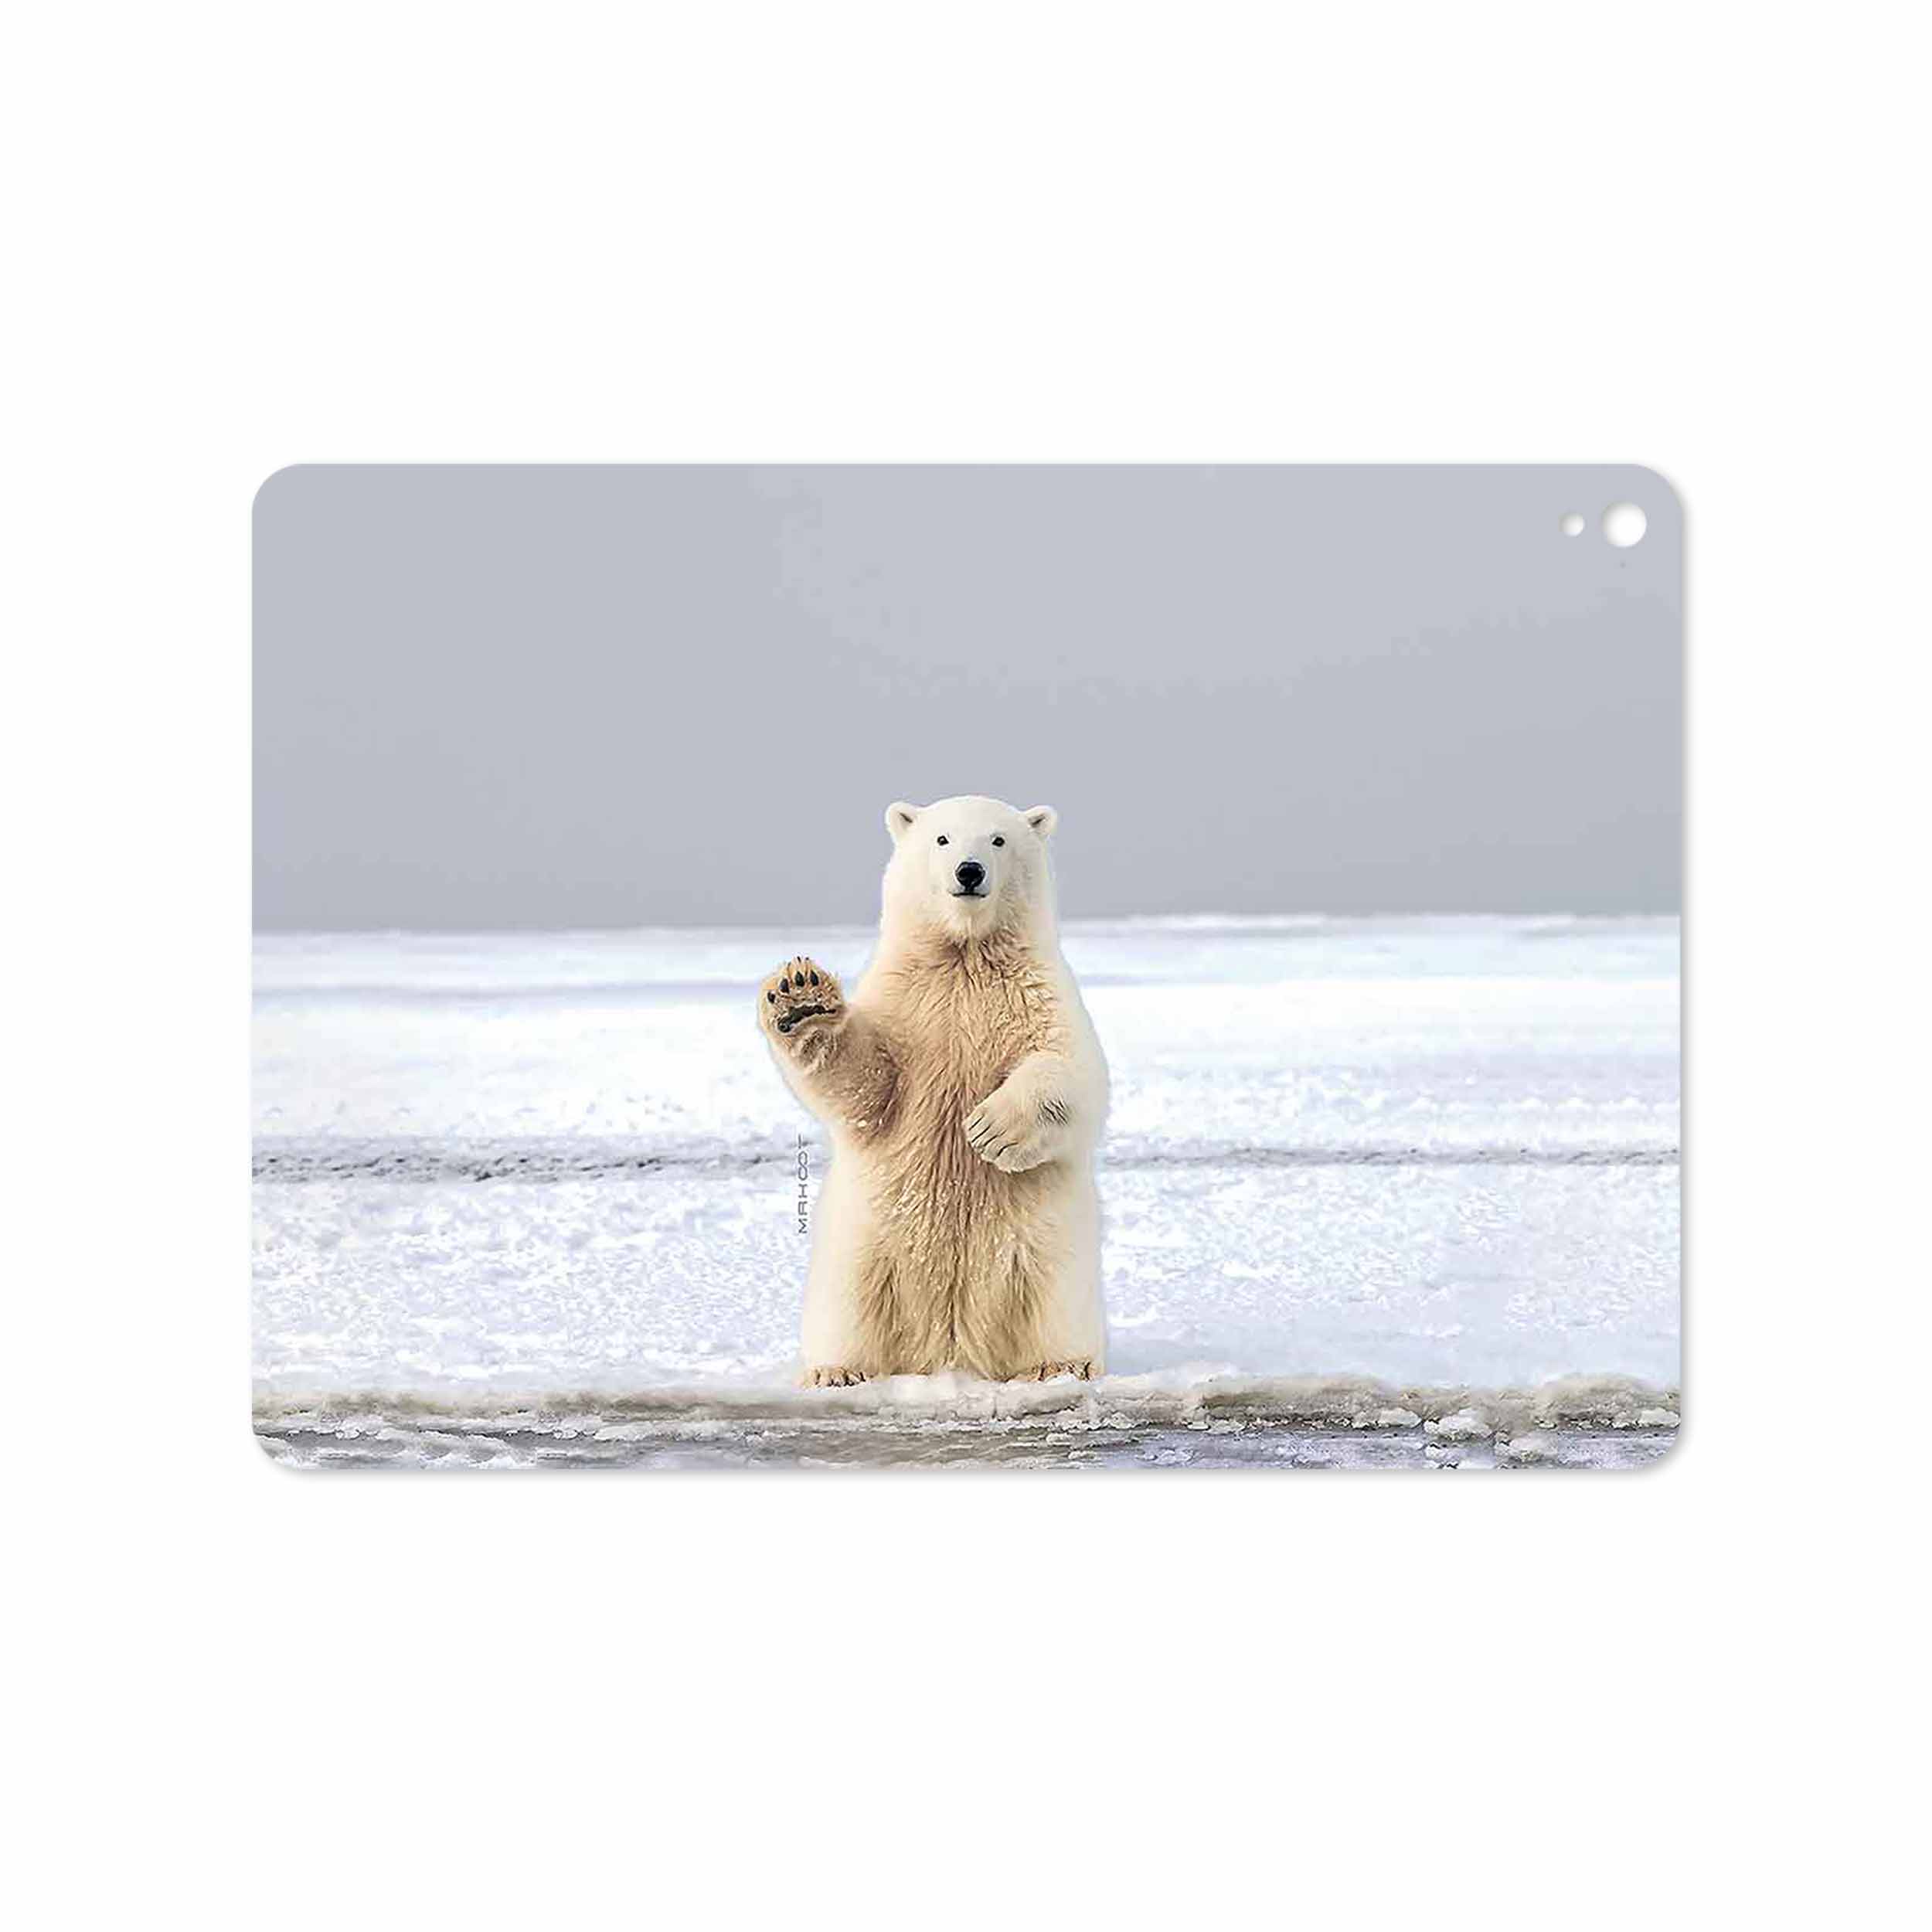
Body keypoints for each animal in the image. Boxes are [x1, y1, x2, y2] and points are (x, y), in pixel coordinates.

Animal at [758, 795, 1109, 1387]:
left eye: (998, 839)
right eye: (942, 839)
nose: (969, 872)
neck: (965, 956)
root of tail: (950, 1351)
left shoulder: (1040, 995)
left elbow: (1074, 1071)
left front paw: (990, 1129)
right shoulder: (906, 1004)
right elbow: (867, 1084)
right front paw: (801, 999)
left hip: (1049, 1249)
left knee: (1055, 1298)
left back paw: (1061, 1365)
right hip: (862, 1246)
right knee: (848, 1305)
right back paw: (837, 1371)